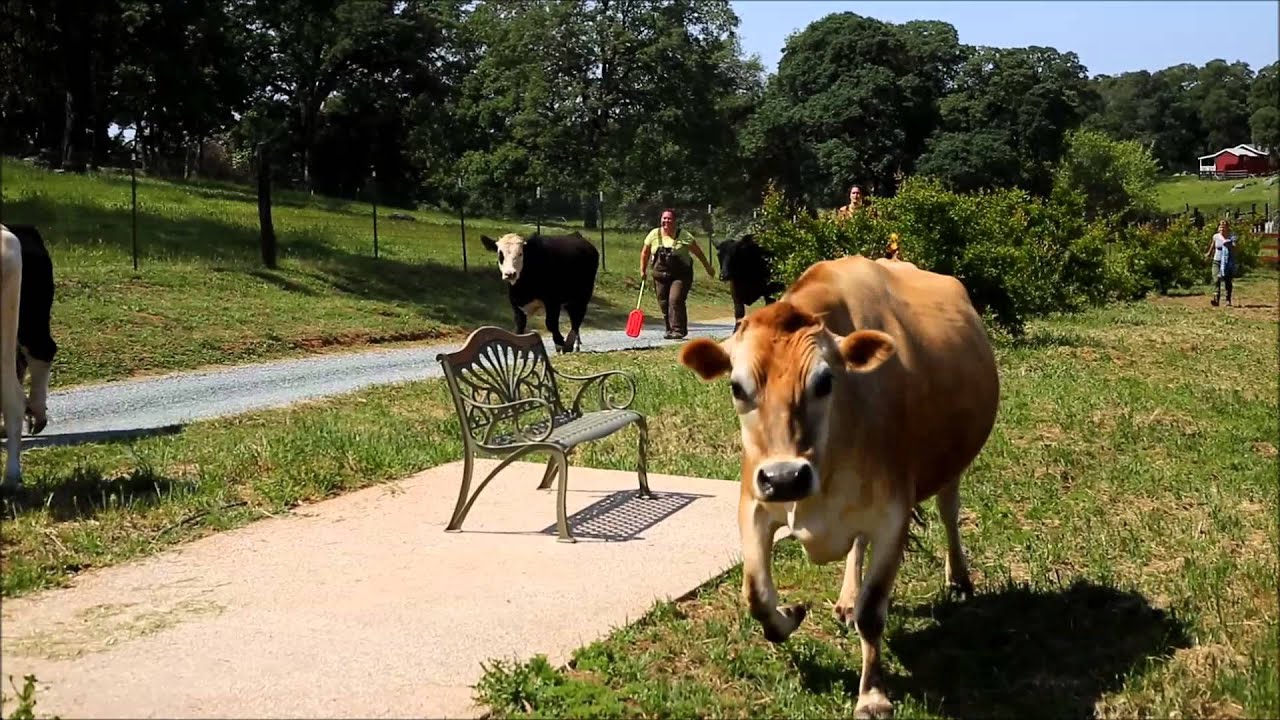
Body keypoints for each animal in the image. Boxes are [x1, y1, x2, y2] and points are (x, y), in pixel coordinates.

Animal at [677, 255, 999, 718]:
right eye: (737, 387)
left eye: (825, 381)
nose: (785, 477)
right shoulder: (754, 503)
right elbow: (756, 594)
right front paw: (788, 615)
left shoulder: (892, 515)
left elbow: (873, 611)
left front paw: (873, 695)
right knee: (856, 546)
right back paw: (846, 597)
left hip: (951, 466)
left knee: (948, 514)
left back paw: (958, 578)